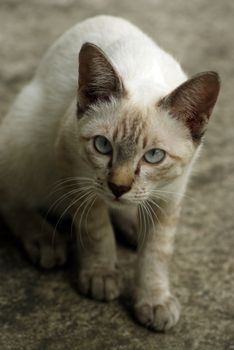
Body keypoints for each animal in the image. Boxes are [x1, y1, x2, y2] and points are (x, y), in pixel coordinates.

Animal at [0, 14, 219, 330]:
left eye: (154, 156)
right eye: (103, 146)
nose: (119, 187)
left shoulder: (172, 193)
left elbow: (157, 251)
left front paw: (154, 300)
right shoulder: (76, 174)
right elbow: (96, 230)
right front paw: (101, 275)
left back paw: (134, 226)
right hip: (27, 143)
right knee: (11, 198)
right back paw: (44, 240)